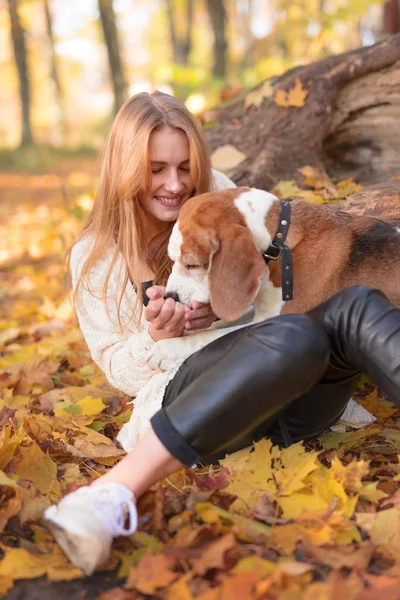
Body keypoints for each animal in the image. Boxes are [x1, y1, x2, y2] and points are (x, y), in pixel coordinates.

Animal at [148, 188, 400, 370]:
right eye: (173, 259)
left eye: (193, 264)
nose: (171, 297)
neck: (280, 241)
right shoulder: (261, 309)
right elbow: (222, 323)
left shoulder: (274, 319)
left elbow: (211, 337)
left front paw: (166, 349)